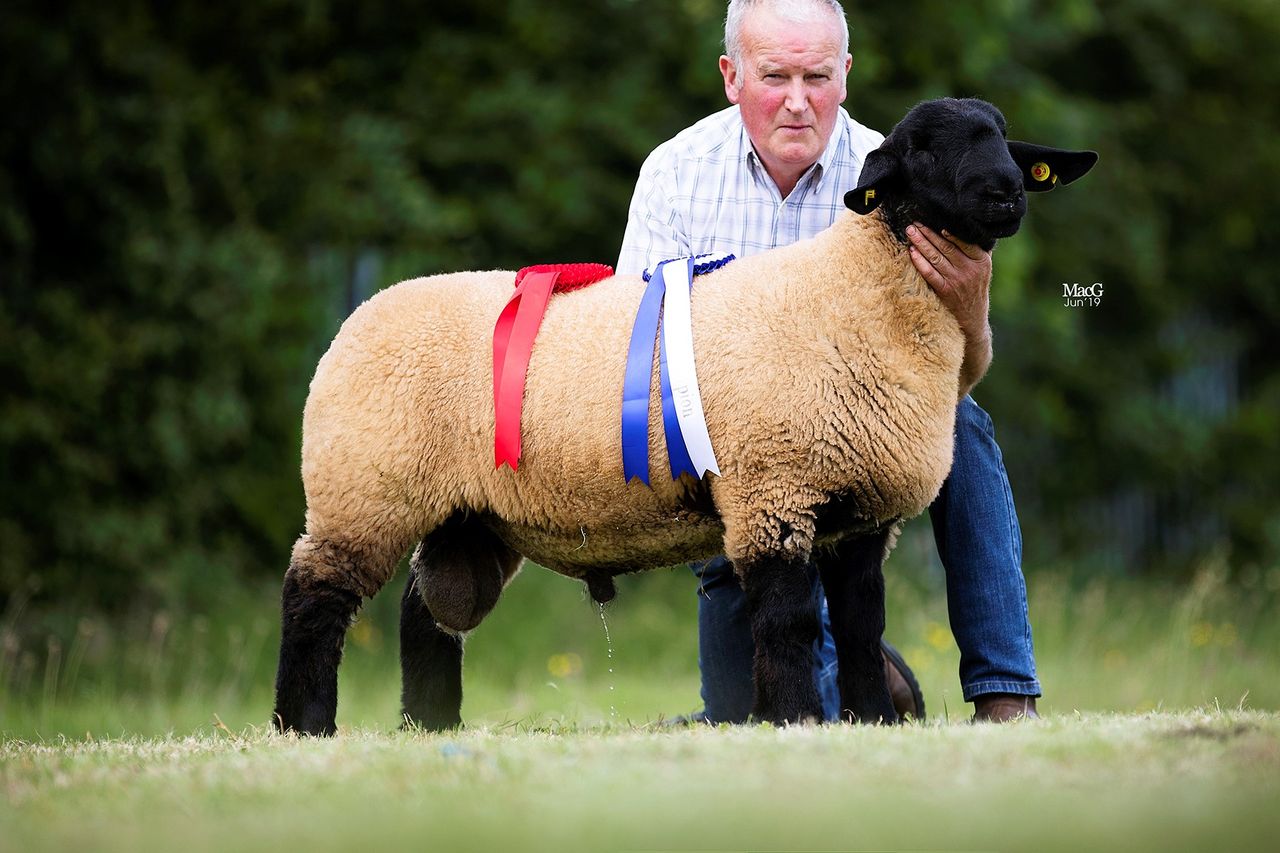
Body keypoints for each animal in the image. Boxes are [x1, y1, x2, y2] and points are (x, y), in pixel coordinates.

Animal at [272, 97, 1096, 736]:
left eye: (1003, 135)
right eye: (922, 148)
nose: (1006, 194)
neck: (854, 288)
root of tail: (356, 319)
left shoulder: (859, 517)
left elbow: (864, 628)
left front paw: (871, 720)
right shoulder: (773, 491)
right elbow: (792, 623)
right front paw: (796, 718)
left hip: (464, 514)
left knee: (428, 607)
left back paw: (429, 723)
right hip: (363, 488)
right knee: (313, 596)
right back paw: (302, 725)